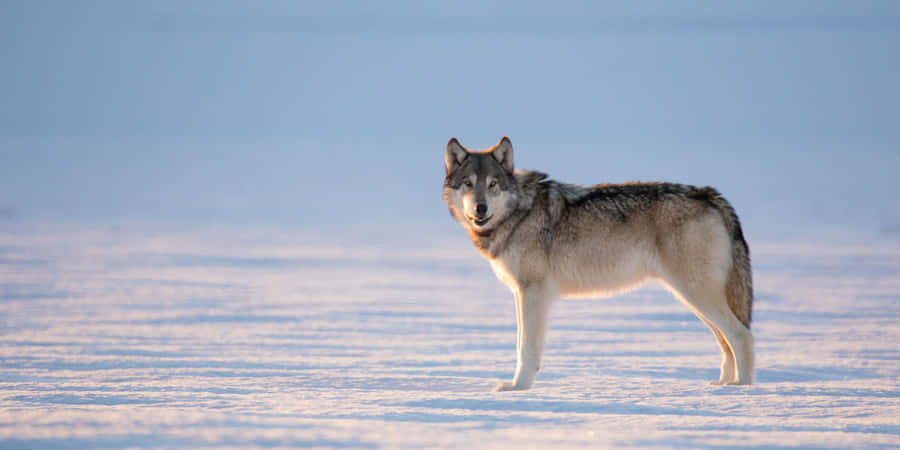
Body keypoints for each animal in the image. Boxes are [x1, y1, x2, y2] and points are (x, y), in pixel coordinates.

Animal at [443, 137, 754, 391]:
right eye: (468, 183)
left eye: (492, 184)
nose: (480, 208)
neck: (519, 212)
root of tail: (710, 195)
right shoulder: (522, 294)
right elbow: (522, 344)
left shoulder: (533, 293)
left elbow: (526, 348)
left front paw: (519, 388)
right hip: (694, 300)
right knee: (726, 342)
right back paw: (723, 386)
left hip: (696, 295)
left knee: (741, 336)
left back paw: (743, 390)